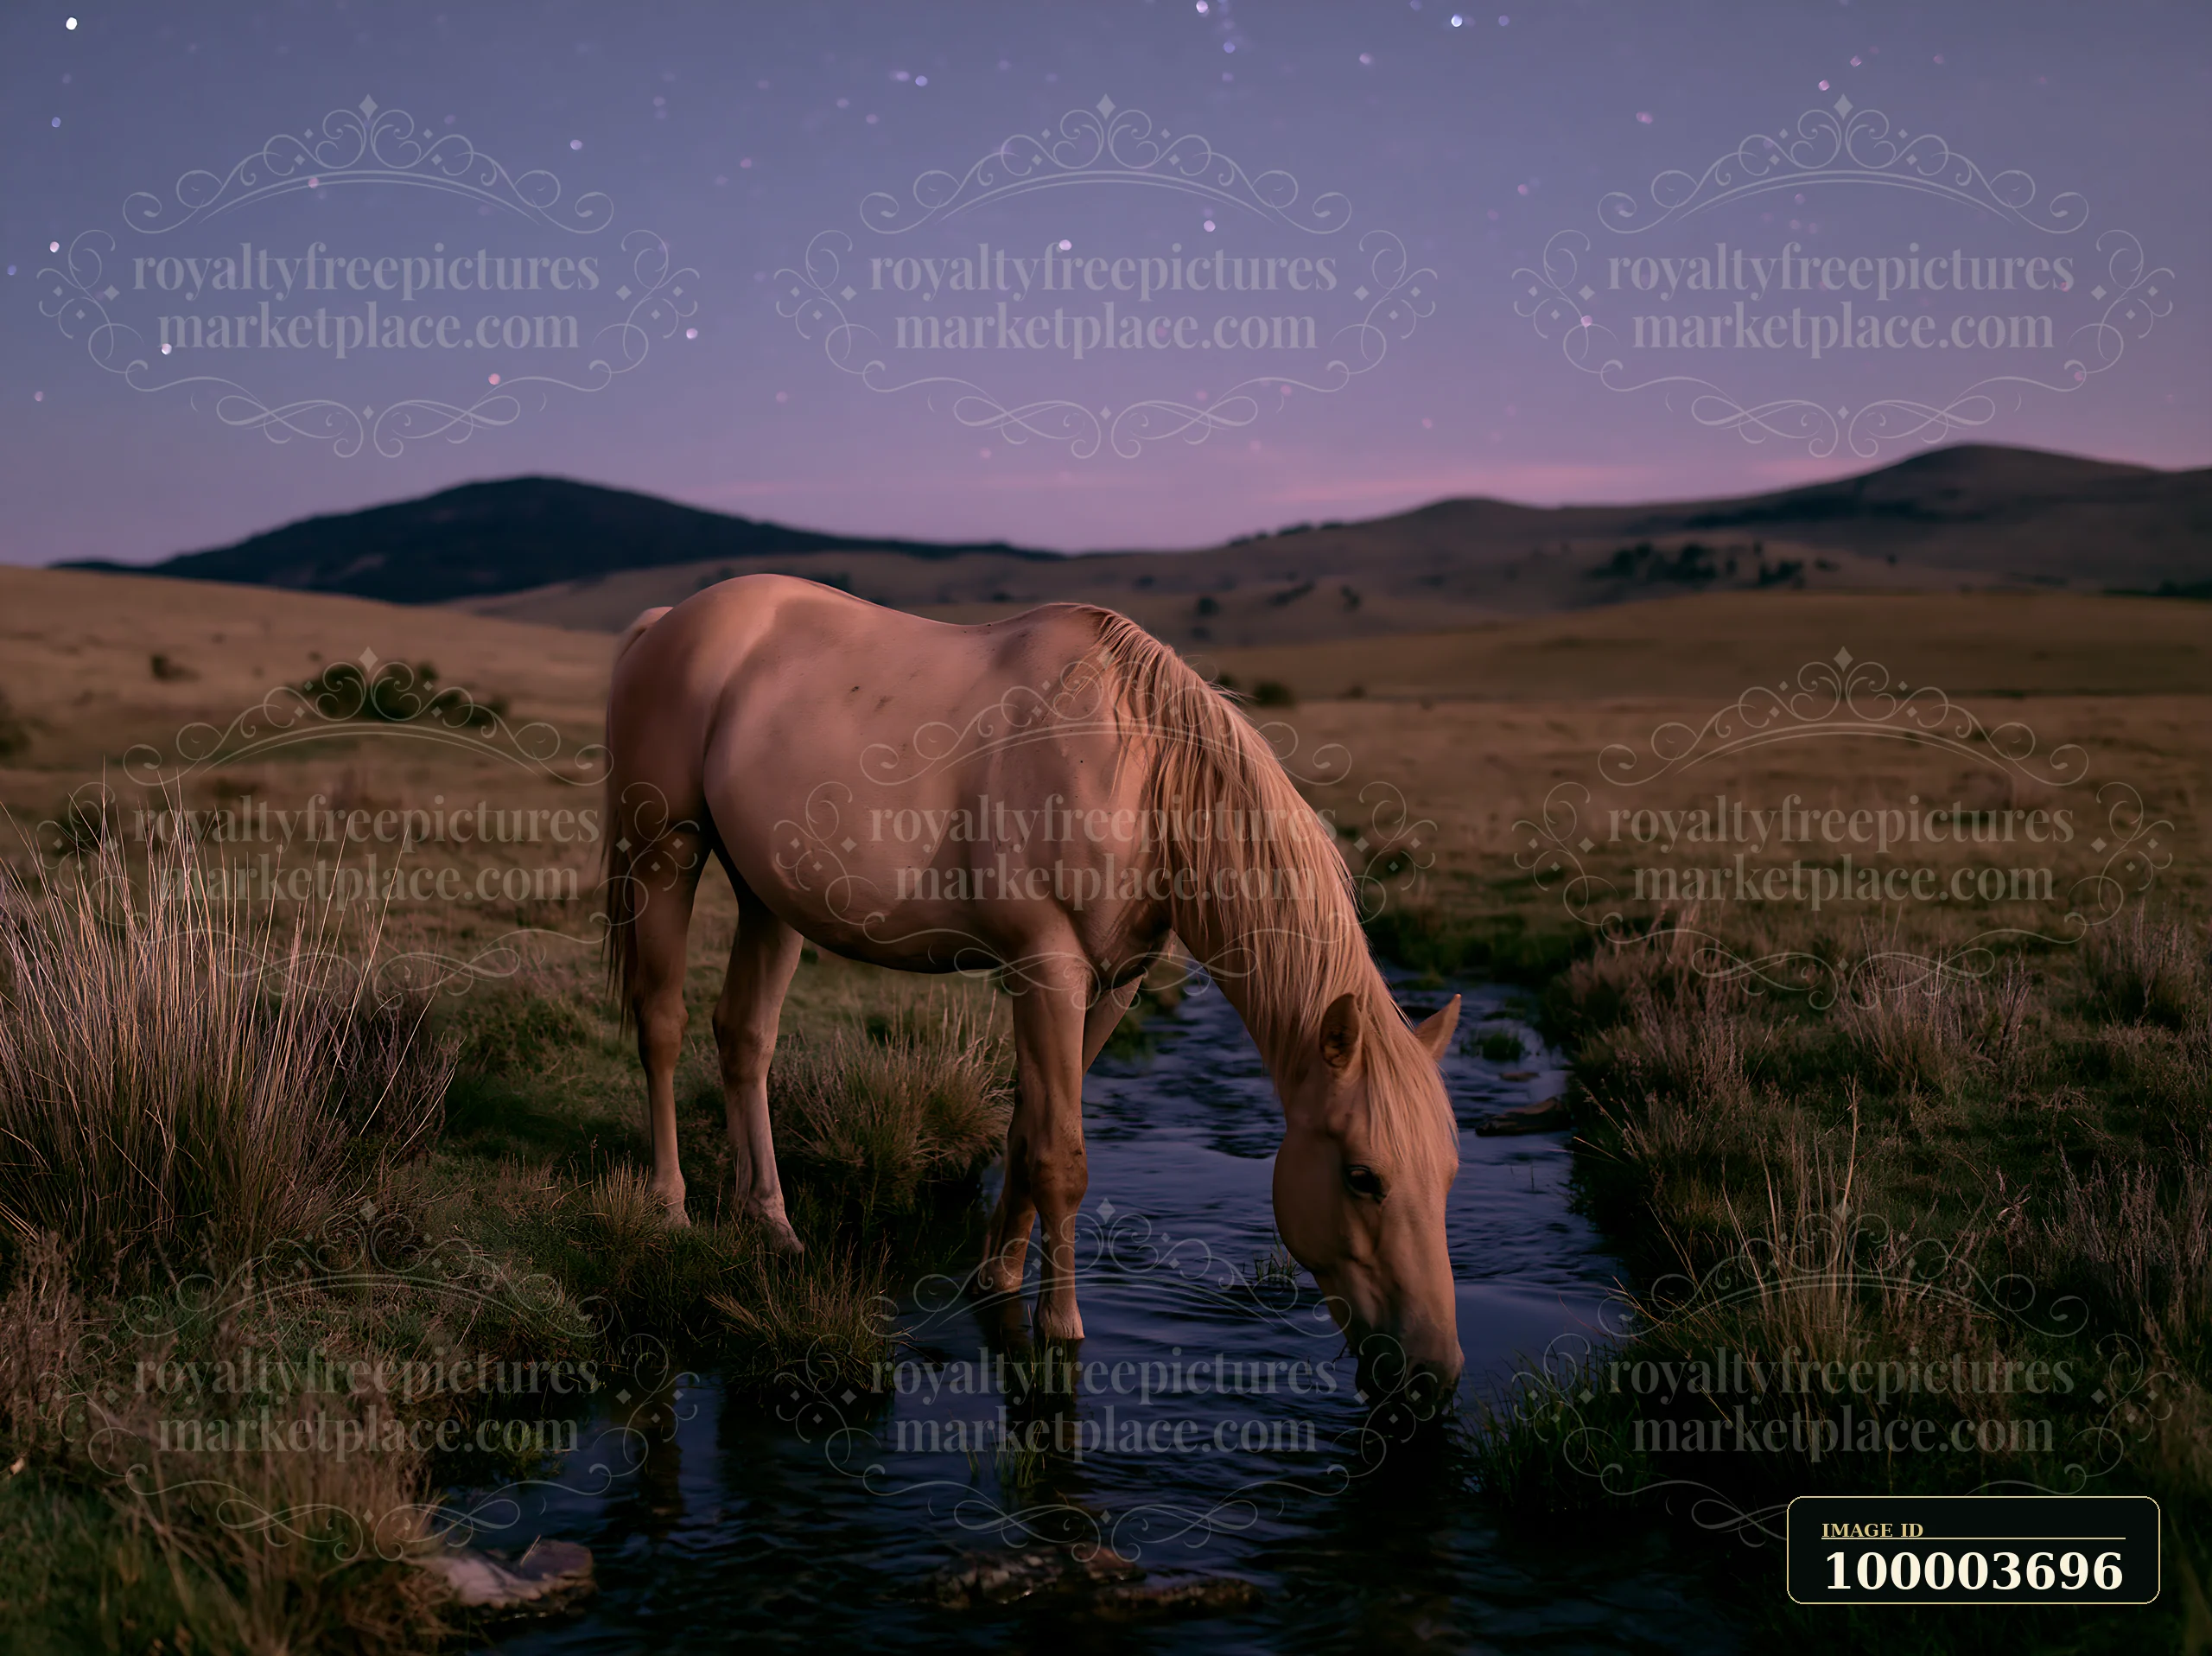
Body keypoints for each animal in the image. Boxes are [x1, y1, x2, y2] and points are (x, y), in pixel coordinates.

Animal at [601, 574, 1463, 1395]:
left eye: (1449, 1173)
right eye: (1363, 1177)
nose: (1434, 1371)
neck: (1137, 772)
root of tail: (669, 620)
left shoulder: (1113, 984)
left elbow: (1028, 1129)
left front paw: (999, 1275)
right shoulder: (1047, 969)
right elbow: (1062, 1156)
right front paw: (1060, 1326)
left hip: (767, 896)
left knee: (746, 1038)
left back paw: (772, 1224)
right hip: (666, 855)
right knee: (664, 1026)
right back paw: (672, 1209)